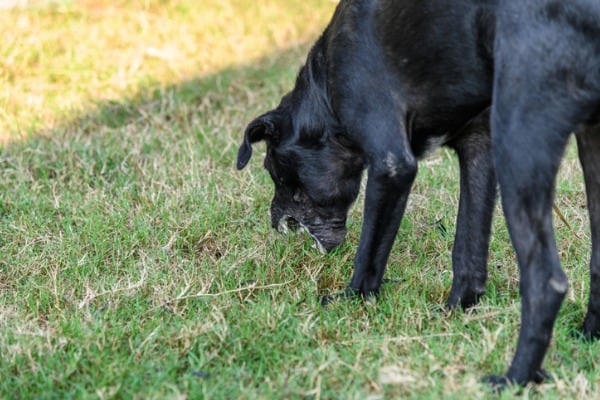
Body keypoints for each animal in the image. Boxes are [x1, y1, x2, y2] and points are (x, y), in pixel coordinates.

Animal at [237, 0, 596, 388]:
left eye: (276, 173)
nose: (275, 223)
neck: (324, 89)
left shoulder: (392, 166)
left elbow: (369, 254)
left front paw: (351, 301)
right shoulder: (478, 146)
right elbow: (467, 251)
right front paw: (456, 310)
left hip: (520, 141)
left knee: (546, 281)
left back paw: (514, 379)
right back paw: (587, 337)